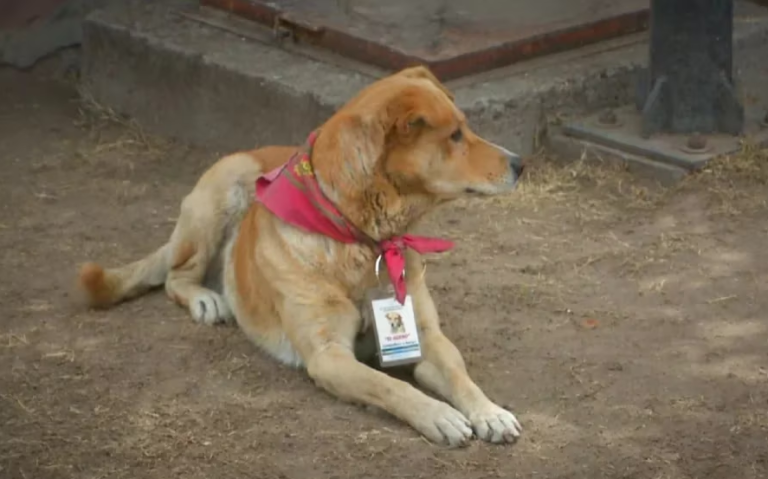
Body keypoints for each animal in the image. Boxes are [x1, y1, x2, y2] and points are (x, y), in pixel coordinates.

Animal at [76, 65, 520, 448]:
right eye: (455, 136)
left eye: (465, 128)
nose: (521, 163)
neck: (361, 240)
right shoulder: (329, 356)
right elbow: (390, 385)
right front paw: (437, 415)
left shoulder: (427, 338)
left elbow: (461, 375)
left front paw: (489, 411)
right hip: (222, 193)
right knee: (176, 274)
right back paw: (205, 299)